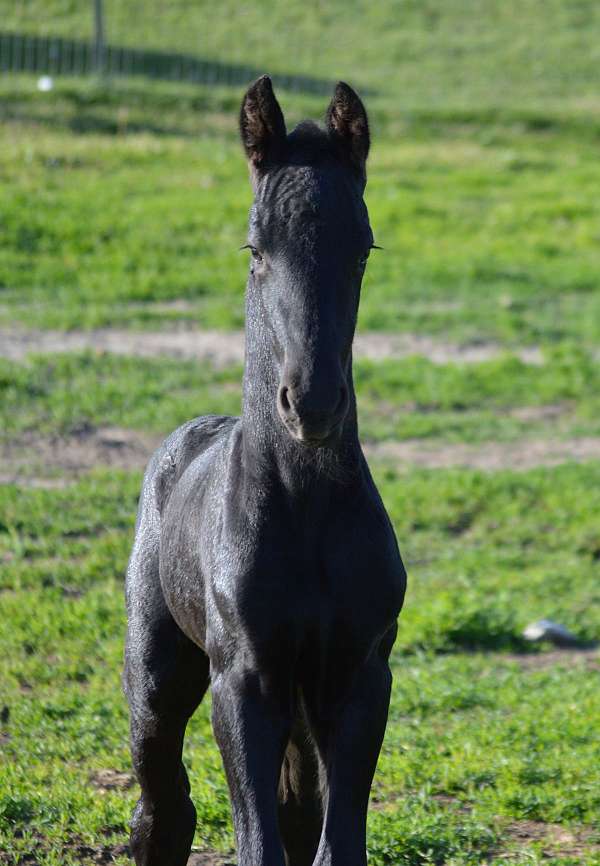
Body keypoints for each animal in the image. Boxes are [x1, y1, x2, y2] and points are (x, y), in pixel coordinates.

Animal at [125, 74, 408, 864]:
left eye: (363, 249)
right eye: (256, 247)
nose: (310, 402)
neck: (305, 512)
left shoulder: (360, 679)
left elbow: (334, 842)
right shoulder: (243, 683)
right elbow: (259, 845)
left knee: (296, 805)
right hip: (157, 676)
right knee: (163, 806)